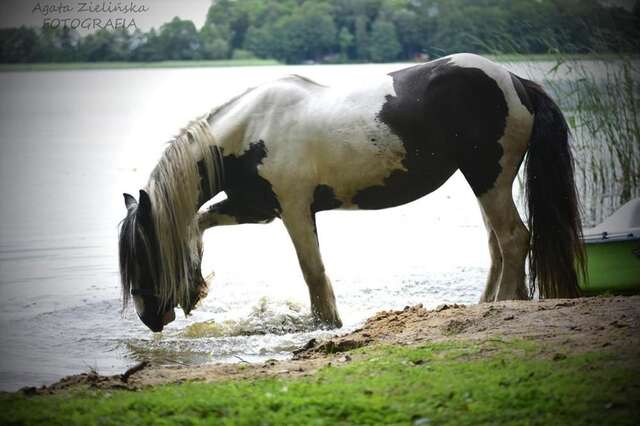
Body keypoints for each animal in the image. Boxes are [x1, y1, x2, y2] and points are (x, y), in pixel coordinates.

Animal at [119, 53, 584, 332]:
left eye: (142, 253)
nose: (149, 317)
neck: (252, 129)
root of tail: (516, 80)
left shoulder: (294, 210)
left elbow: (313, 271)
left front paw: (327, 325)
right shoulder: (256, 207)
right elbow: (197, 223)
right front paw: (193, 284)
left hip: (490, 177)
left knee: (514, 239)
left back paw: (503, 306)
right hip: (485, 182)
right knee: (497, 246)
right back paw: (488, 304)